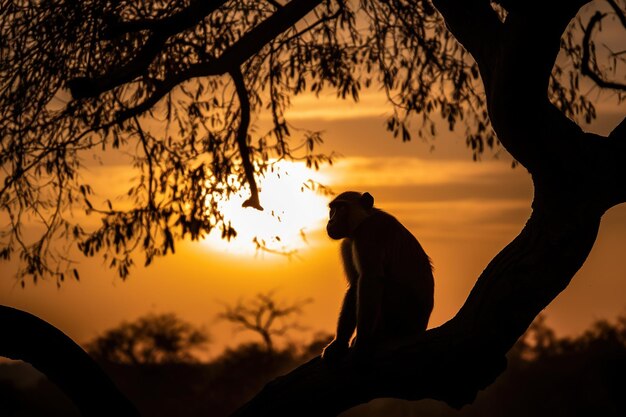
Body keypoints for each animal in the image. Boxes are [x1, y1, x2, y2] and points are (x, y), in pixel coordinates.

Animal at [320, 191, 432, 360]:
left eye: (342, 208)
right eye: (332, 209)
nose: (331, 221)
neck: (365, 219)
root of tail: (421, 327)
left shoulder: (368, 234)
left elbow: (370, 280)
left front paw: (362, 344)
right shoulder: (348, 242)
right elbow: (355, 285)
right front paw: (339, 343)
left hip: (402, 316)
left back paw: (378, 337)